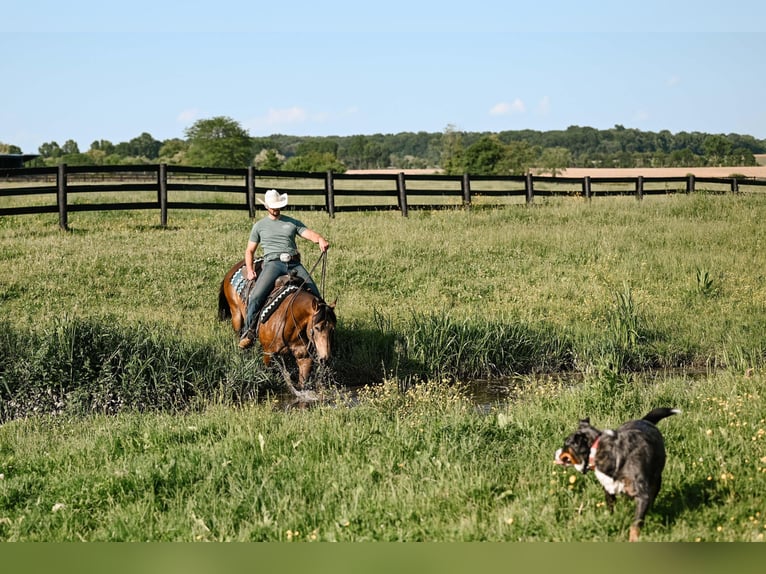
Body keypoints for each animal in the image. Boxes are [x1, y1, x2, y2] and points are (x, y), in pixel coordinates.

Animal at [216, 260, 336, 398]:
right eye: (316, 327)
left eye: (332, 329)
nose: (325, 358)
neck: (289, 322)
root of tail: (234, 268)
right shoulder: (268, 353)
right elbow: (269, 374)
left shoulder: (304, 357)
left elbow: (302, 383)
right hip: (236, 315)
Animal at [556, 408, 680, 544]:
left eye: (566, 444)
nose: (555, 452)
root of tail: (644, 420)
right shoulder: (608, 489)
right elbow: (611, 508)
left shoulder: (642, 496)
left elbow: (636, 523)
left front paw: (633, 539)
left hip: (656, 480)